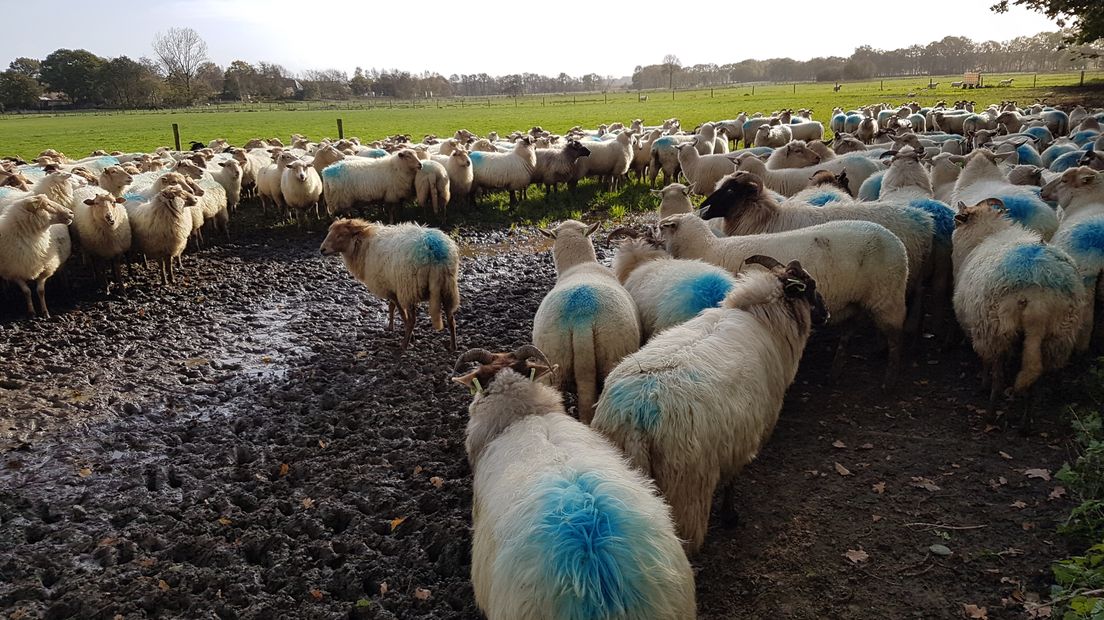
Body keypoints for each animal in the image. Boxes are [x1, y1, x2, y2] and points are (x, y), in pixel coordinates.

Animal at [322, 219, 459, 350]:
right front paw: (391, 327)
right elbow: (391, 307)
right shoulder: (391, 285)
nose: (322, 249)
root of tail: (434, 250)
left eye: (341, 235)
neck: (364, 246)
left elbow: (401, 312)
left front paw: (410, 336)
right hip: (448, 288)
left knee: (412, 320)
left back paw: (403, 346)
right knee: (451, 319)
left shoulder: (392, 289)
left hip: (409, 289)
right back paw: (453, 346)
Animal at [591, 254, 825, 549]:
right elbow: (732, 479)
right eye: (811, 287)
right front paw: (730, 515)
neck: (763, 320)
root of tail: (636, 417)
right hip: (685, 489)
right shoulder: (743, 436)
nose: (826, 315)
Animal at [949, 198, 1086, 419]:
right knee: (1034, 379)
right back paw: (1026, 420)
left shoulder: (978, 327)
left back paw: (990, 411)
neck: (984, 235)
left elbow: (986, 362)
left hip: (995, 330)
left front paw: (983, 384)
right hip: (1059, 333)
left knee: (998, 376)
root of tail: (1038, 295)